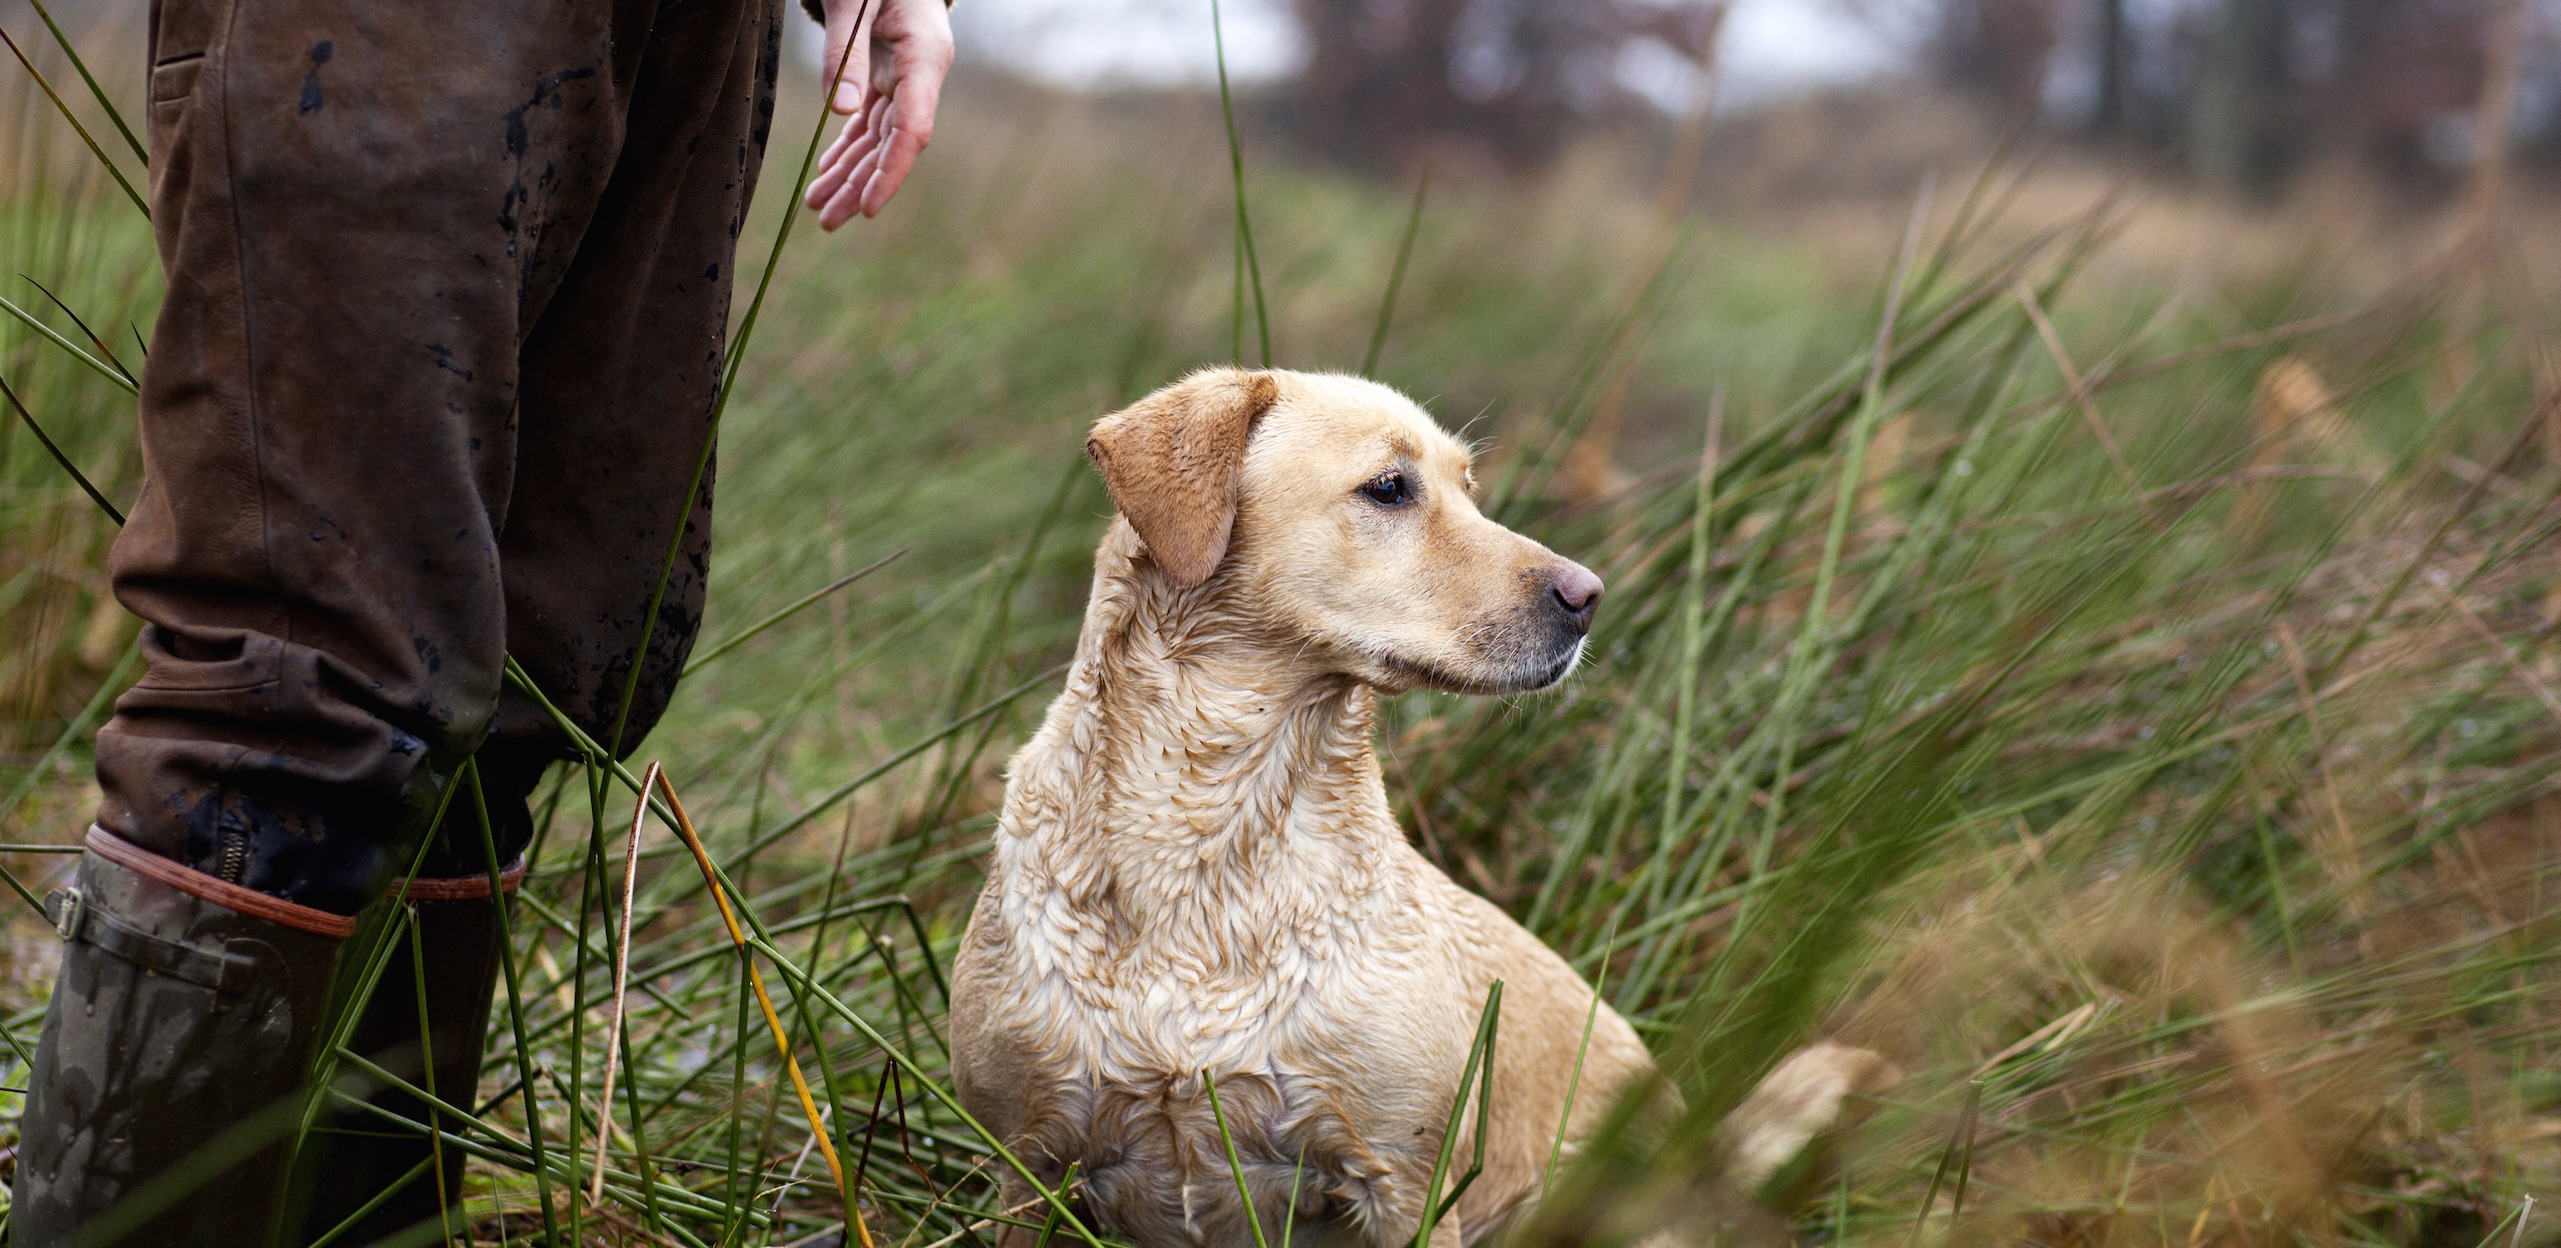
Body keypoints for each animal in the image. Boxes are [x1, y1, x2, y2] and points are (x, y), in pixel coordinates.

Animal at [952, 366, 1895, 1245]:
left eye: (1468, 487)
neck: (1206, 817)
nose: (1589, 596)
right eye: (1389, 487)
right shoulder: (1026, 1168)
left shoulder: (1407, 1180)